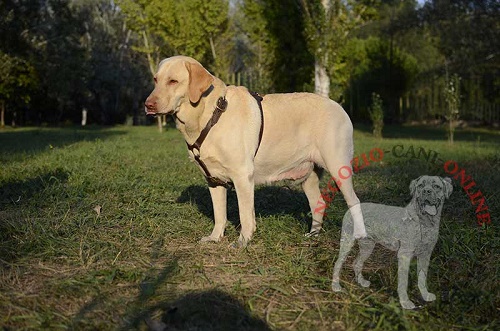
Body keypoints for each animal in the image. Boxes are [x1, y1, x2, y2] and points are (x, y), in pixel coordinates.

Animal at [332, 175, 454, 310]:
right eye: (421, 185)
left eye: (436, 186)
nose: (426, 191)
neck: (424, 222)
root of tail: (353, 207)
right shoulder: (404, 255)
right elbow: (403, 281)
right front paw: (405, 302)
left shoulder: (425, 255)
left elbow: (422, 277)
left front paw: (425, 295)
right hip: (347, 242)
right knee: (338, 263)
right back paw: (336, 286)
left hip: (367, 246)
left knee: (357, 263)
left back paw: (362, 282)